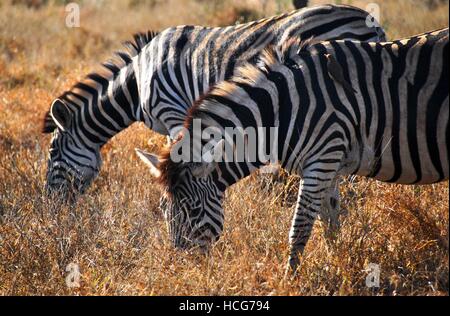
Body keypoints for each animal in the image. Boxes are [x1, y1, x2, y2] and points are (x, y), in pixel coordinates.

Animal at [135, 27, 448, 272]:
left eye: (195, 209)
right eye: (164, 209)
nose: (182, 268)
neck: (281, 111)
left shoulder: (321, 160)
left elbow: (299, 228)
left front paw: (291, 278)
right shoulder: (329, 166)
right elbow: (329, 221)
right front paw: (339, 263)